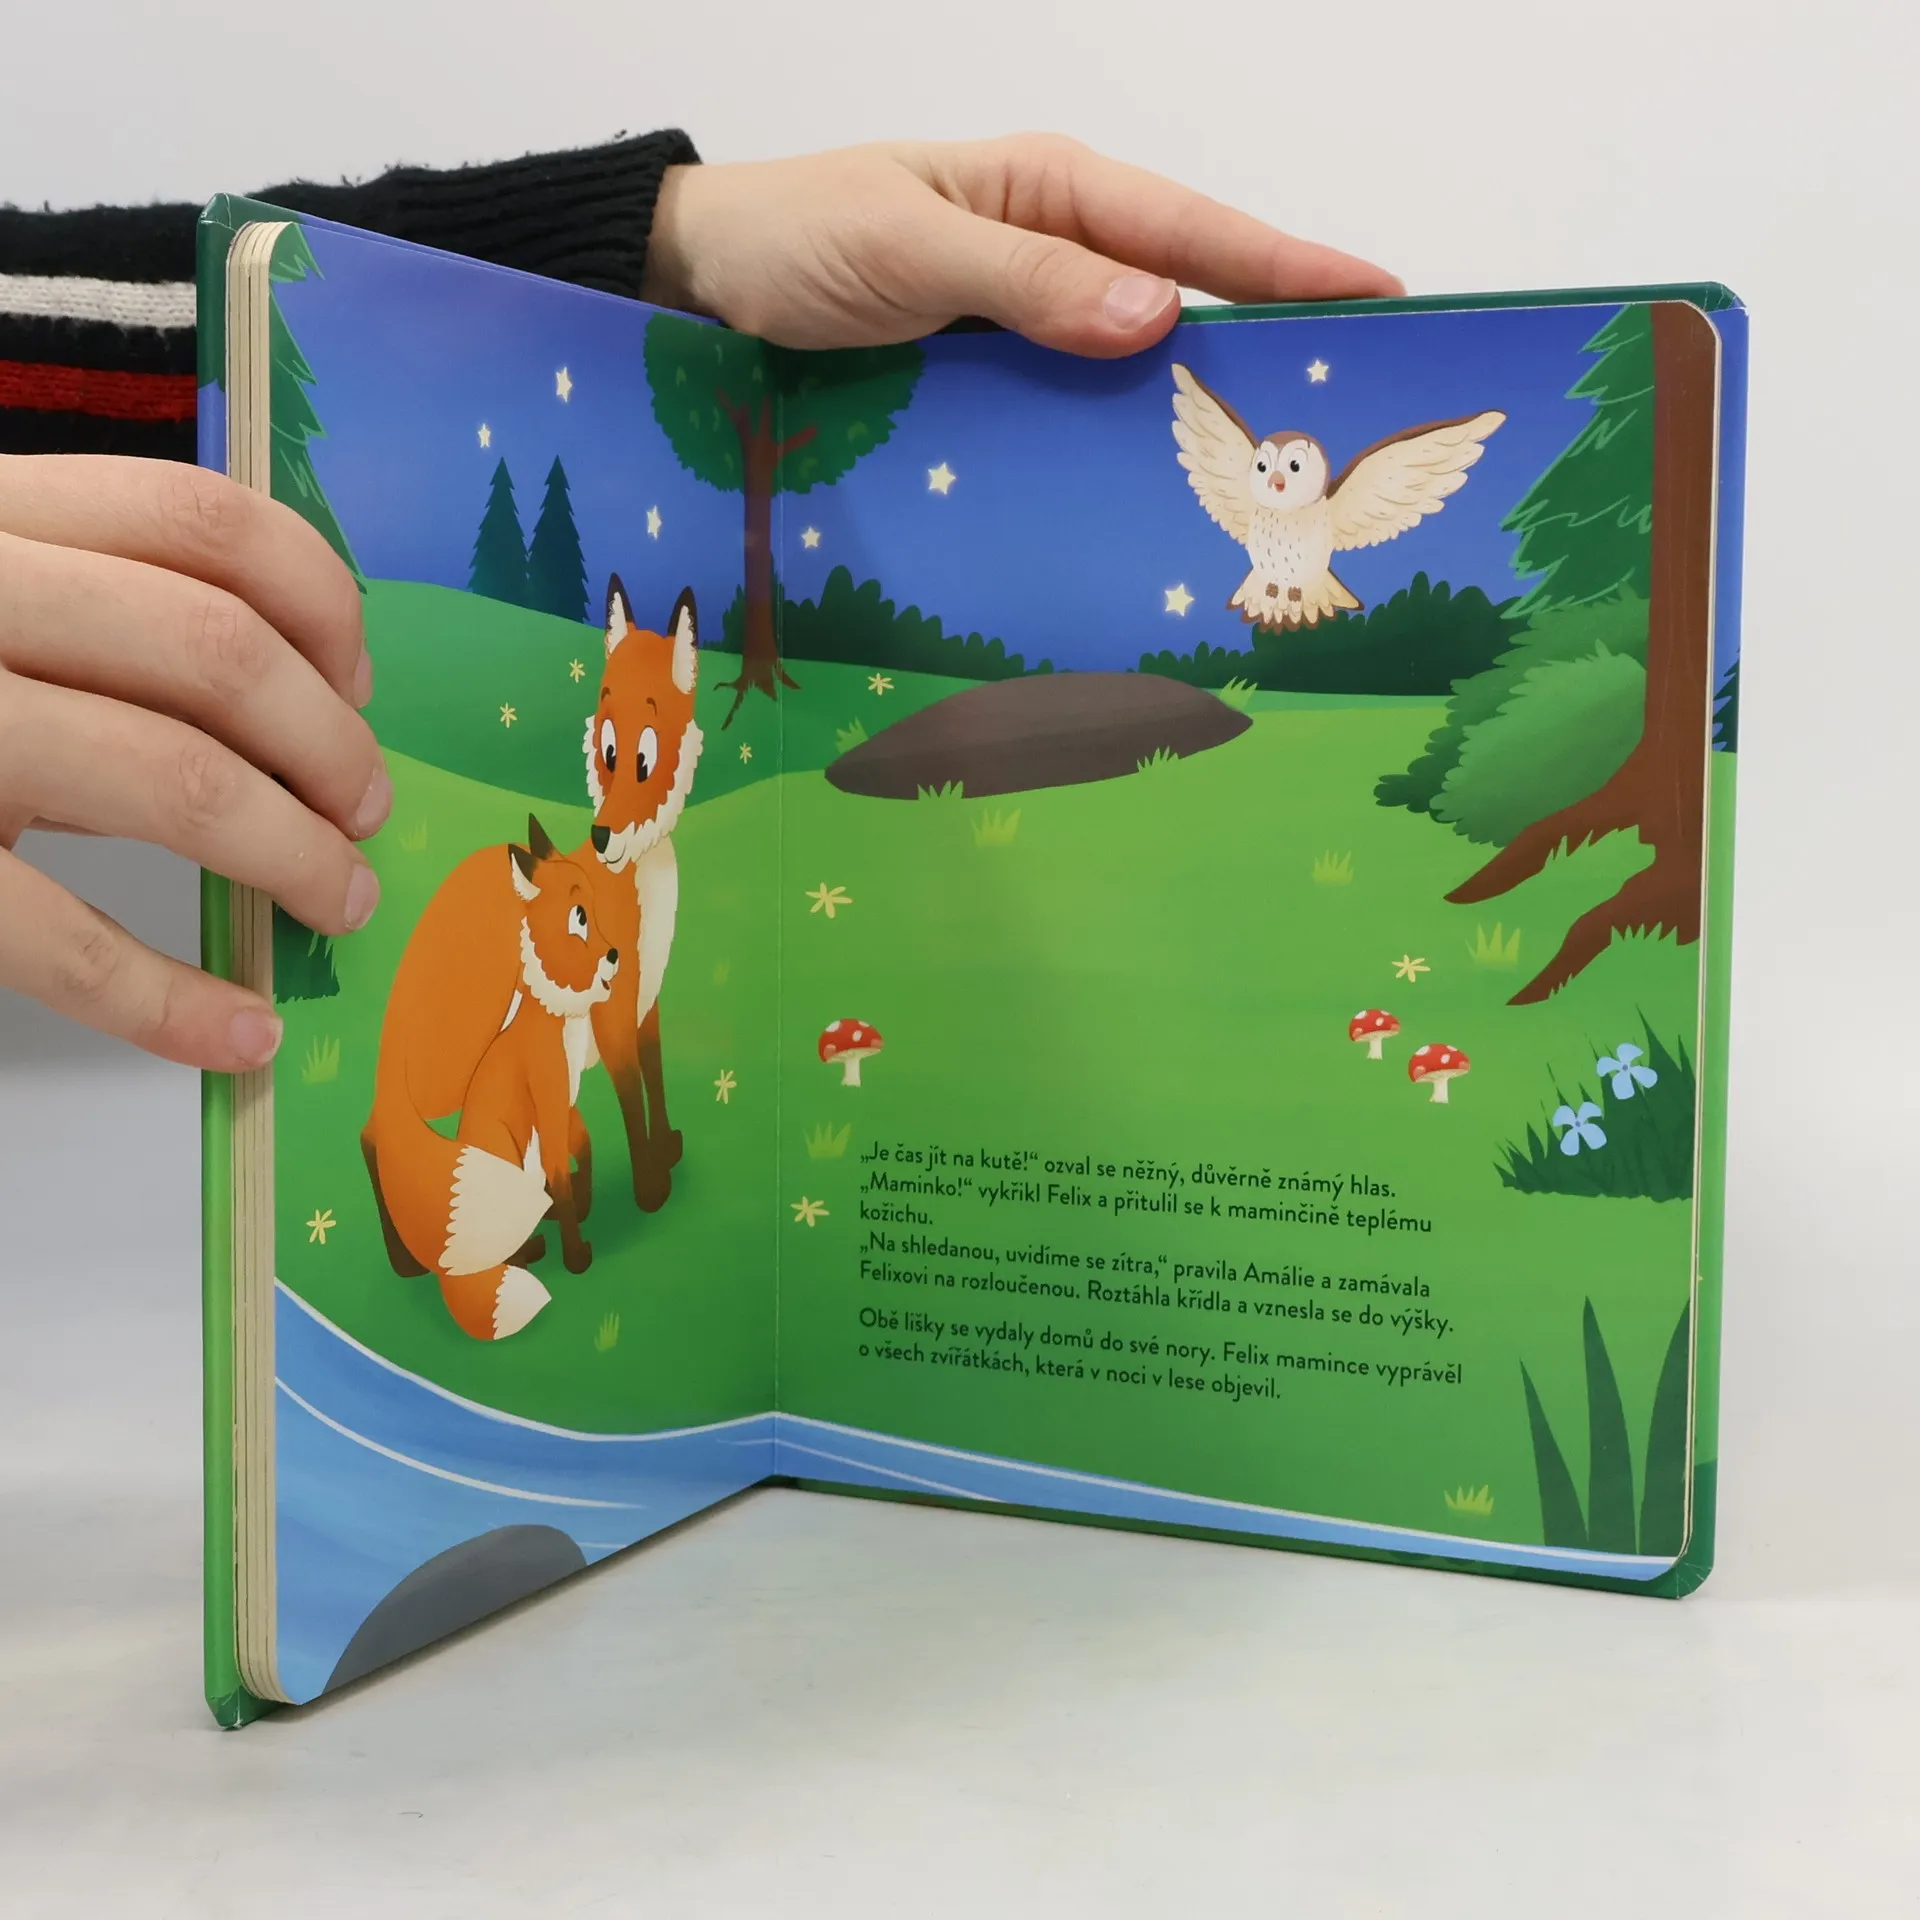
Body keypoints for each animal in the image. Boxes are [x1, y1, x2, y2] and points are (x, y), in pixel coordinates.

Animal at [361, 817, 620, 1341]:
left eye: (596, 906)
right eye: (579, 916)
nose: (615, 955)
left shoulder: (565, 1103)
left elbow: (582, 1150)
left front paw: (582, 1205)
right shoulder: (547, 1092)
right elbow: (561, 1175)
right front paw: (577, 1254)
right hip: (504, 1149)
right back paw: (531, 1249)